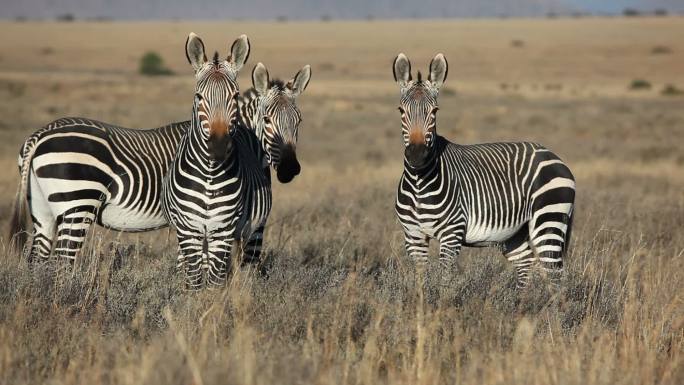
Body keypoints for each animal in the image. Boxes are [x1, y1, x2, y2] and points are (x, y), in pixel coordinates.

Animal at [163, 31, 272, 286]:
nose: (219, 146)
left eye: (235, 96)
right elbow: (195, 281)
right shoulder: (189, 230)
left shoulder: (222, 230)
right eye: (198, 96)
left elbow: (214, 281)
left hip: (252, 229)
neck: (209, 174)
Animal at [392, 54, 576, 288]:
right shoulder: (413, 236)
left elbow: (444, 280)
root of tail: (553, 155)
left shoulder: (451, 234)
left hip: (548, 219)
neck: (418, 182)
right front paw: (421, 299)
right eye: (401, 111)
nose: (416, 156)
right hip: (515, 233)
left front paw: (442, 298)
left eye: (434, 111)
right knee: (526, 265)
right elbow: (420, 282)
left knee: (555, 276)